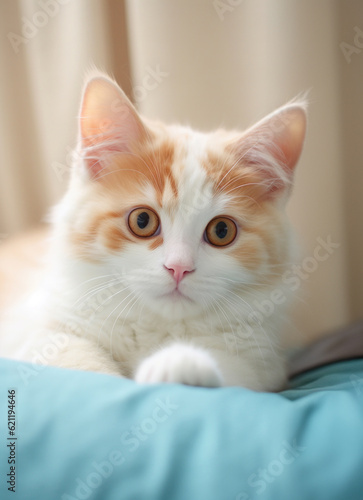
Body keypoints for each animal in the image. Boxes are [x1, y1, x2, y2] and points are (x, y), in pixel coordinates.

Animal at [2, 72, 308, 392]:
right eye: (142, 221)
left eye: (222, 230)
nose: (179, 268)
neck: (155, 327)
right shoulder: (45, 333)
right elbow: (81, 368)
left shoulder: (262, 363)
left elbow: (235, 372)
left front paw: (178, 364)